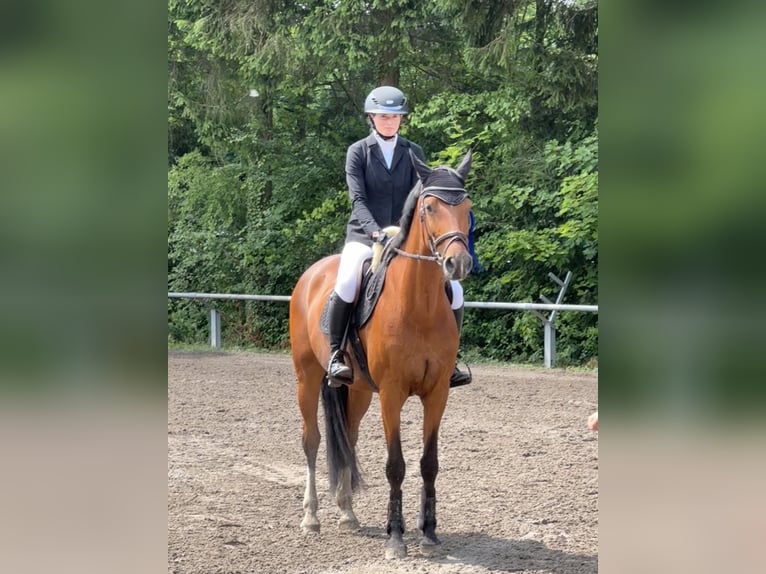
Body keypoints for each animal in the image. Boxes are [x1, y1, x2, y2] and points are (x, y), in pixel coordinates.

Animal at [289, 150, 474, 559]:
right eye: (430, 207)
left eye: (467, 207)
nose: (458, 264)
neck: (419, 305)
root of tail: (312, 273)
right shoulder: (392, 393)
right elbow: (396, 465)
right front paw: (396, 538)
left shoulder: (438, 393)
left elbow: (429, 463)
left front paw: (429, 533)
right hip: (307, 377)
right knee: (312, 440)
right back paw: (310, 518)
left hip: (356, 389)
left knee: (349, 439)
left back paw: (347, 513)